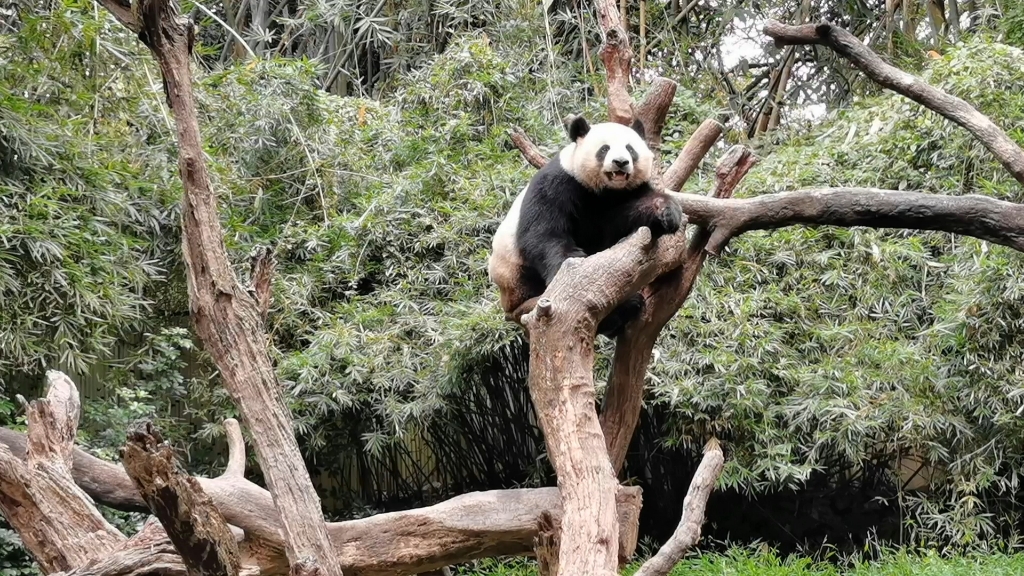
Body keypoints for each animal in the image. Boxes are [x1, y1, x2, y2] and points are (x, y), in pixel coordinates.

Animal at [485, 114, 679, 336]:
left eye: (630, 149)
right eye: (604, 149)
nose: (620, 162)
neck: (606, 190)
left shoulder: (623, 196)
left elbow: (625, 218)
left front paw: (667, 212)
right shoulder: (559, 183)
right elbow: (543, 234)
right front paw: (570, 266)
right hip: (516, 276)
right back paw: (622, 310)